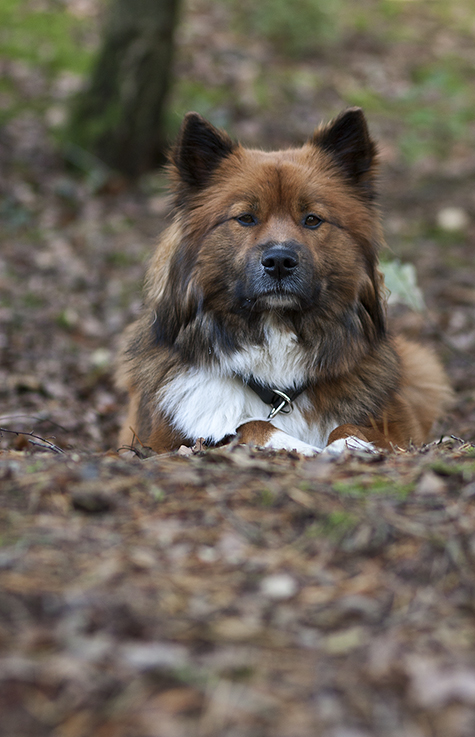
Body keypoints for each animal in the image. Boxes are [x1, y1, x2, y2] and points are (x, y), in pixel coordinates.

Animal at [116, 108, 454, 454]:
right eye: (246, 218)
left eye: (312, 219)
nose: (279, 262)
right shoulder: (163, 438)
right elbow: (249, 424)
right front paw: (297, 446)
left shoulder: (400, 427)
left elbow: (351, 427)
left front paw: (347, 445)